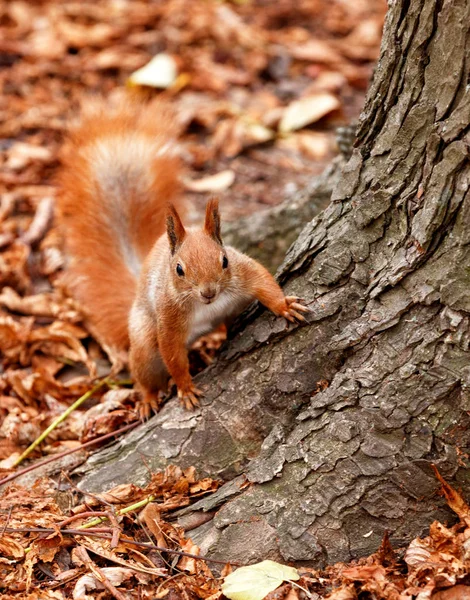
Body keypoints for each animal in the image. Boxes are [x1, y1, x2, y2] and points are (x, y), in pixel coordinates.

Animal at [57, 101, 310, 414]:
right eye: (179, 270)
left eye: (224, 260)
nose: (209, 292)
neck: (207, 306)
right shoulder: (169, 316)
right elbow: (173, 355)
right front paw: (186, 388)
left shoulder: (243, 271)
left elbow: (263, 281)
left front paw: (284, 306)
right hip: (143, 339)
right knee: (143, 371)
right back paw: (148, 399)